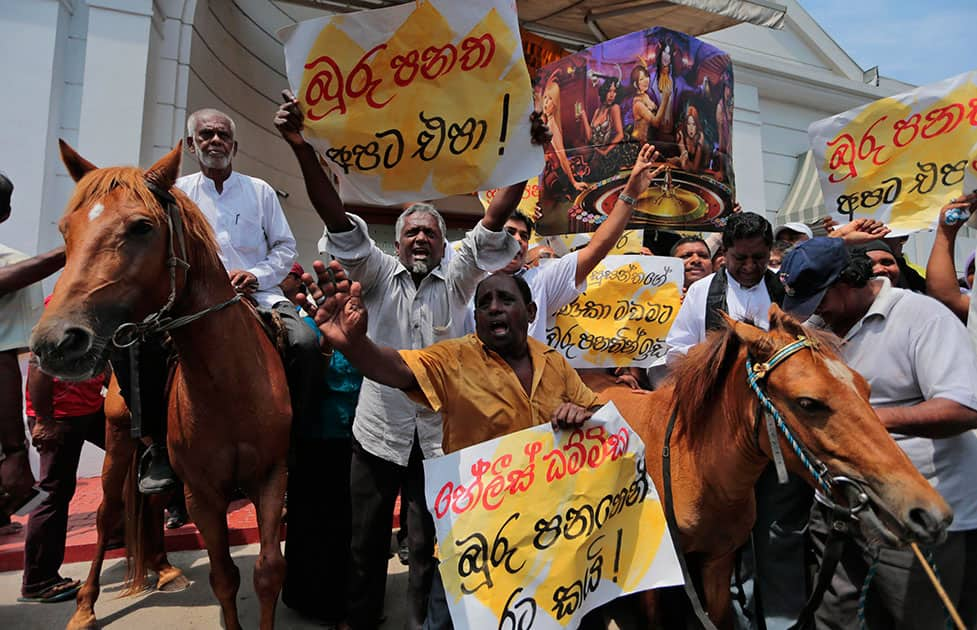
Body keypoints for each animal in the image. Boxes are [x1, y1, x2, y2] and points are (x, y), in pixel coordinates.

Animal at [29, 143, 290, 630]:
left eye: (141, 227)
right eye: (64, 230)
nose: (55, 343)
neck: (229, 386)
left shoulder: (271, 475)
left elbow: (268, 571)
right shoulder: (202, 492)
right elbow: (224, 577)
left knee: (148, 503)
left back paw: (165, 569)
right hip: (117, 437)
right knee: (108, 512)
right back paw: (85, 606)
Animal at [584, 306, 948, 628]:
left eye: (864, 387)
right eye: (808, 403)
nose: (928, 513)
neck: (694, 469)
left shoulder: (719, 561)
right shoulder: (656, 577)